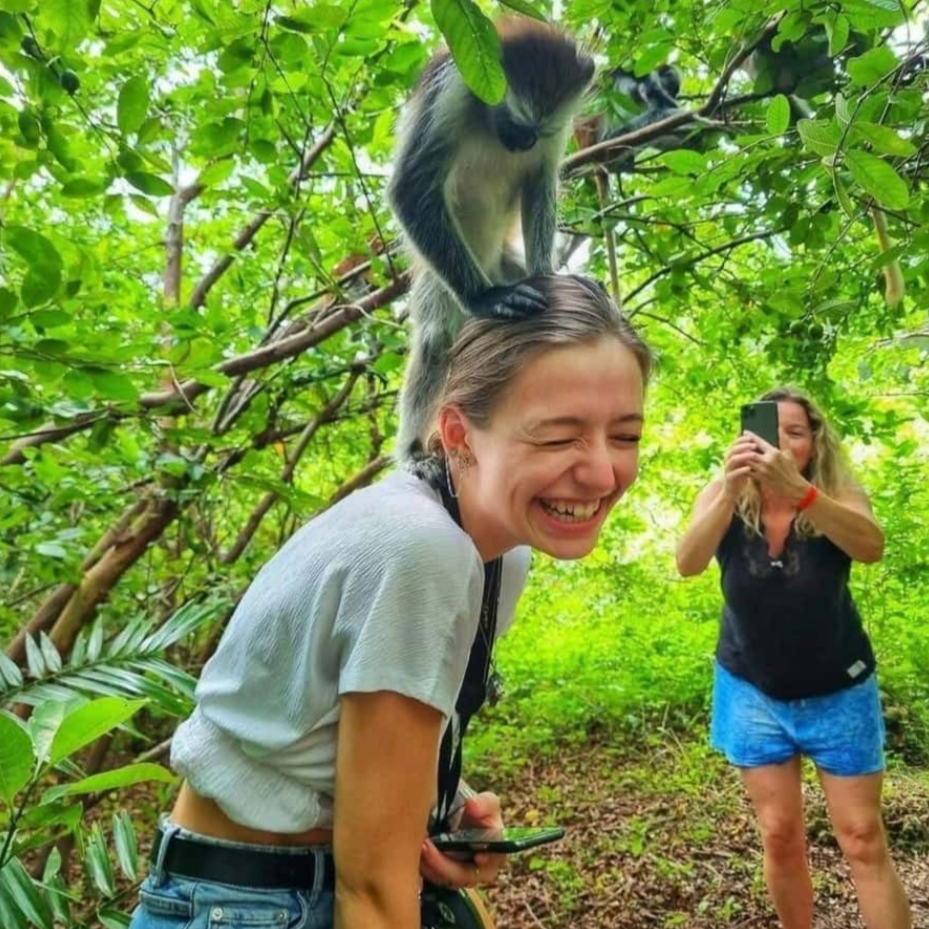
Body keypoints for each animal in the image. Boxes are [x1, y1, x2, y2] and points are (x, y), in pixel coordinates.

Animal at [387, 17, 595, 460]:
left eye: (539, 131)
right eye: (517, 123)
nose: (524, 143)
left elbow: (539, 181)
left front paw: (548, 274)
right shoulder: (452, 89)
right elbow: (411, 187)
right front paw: (485, 298)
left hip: (504, 264)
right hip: (441, 279)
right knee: (436, 338)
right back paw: (412, 448)